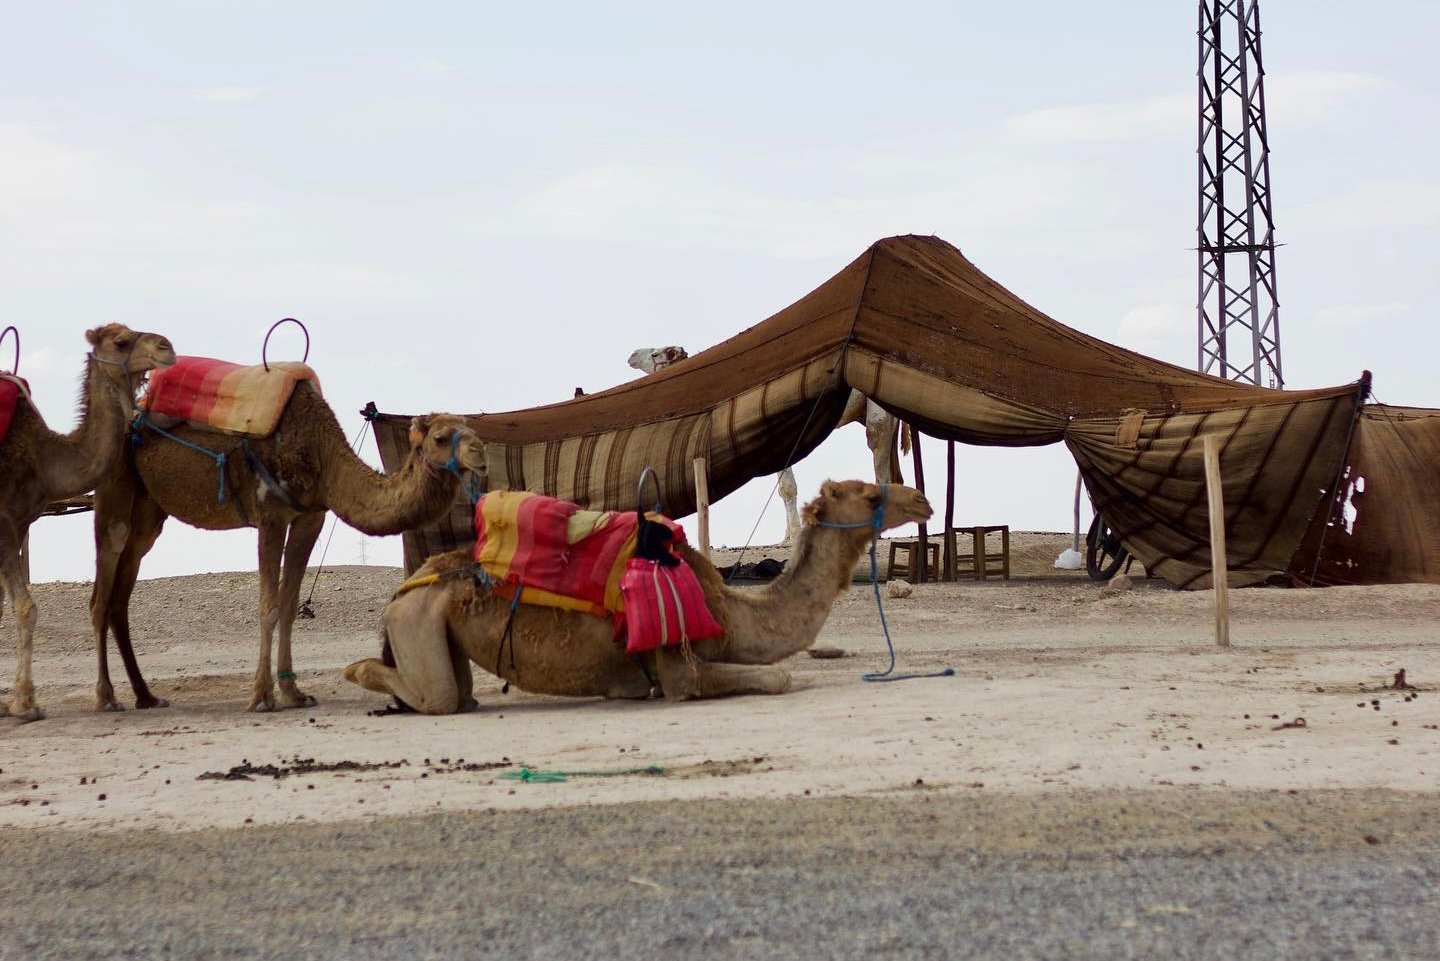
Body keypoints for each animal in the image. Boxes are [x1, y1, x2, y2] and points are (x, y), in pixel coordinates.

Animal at [1, 324, 176, 721]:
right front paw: (25, 704)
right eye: (121, 342)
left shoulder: (21, 523)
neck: (45, 457)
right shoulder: (4, 521)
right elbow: (27, 608)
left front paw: (12, 702)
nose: (167, 347)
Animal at [89, 380, 489, 713]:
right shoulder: (270, 515)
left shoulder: (310, 517)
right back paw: (107, 698)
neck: (322, 457)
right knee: (101, 595)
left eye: (471, 428)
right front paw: (262, 697)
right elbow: (268, 606)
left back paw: (146, 696)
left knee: (121, 597)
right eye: (441, 437)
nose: (480, 451)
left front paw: (294, 693)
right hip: (114, 491)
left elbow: (289, 604)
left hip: (149, 509)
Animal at [344, 479, 932, 713]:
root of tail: (405, 589)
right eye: (870, 494)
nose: (922, 500)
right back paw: (357, 673)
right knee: (436, 694)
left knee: (457, 693)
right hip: (419, 620)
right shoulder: (679, 667)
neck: (732, 609)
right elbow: (778, 676)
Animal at [627, 346, 908, 544]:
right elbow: (784, 487)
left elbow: (787, 487)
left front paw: (794, 535)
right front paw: (786, 537)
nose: (631, 356)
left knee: (877, 443)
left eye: (656, 353)